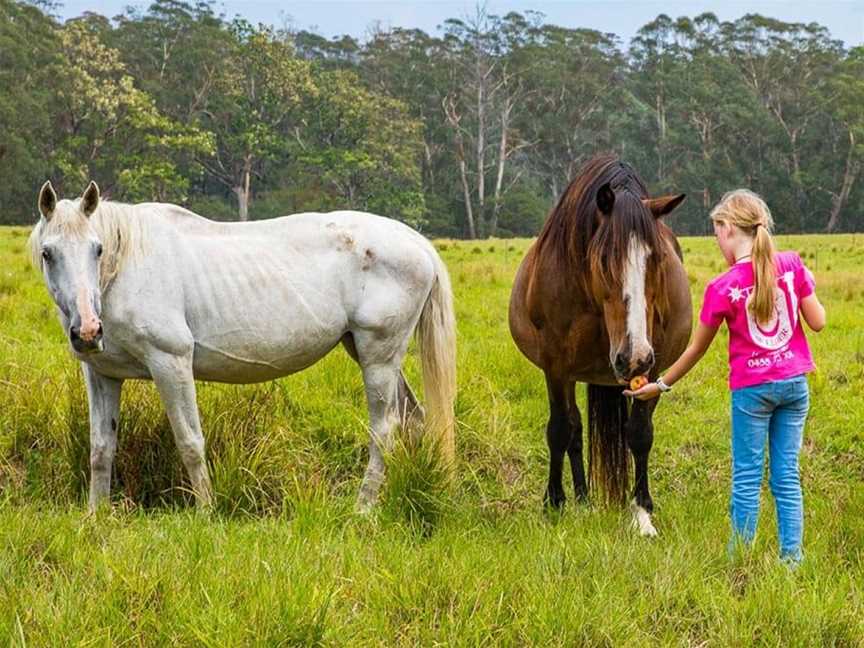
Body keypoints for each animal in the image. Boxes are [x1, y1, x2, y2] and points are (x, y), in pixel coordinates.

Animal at [29, 181, 456, 512]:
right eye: (48, 253)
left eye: (97, 249)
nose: (87, 331)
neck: (124, 269)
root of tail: (416, 242)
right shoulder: (101, 375)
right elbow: (101, 448)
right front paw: (96, 515)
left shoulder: (171, 363)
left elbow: (189, 442)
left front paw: (206, 512)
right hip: (373, 355)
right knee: (414, 420)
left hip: (378, 358)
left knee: (385, 430)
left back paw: (363, 509)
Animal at [510, 154, 692, 536]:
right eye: (606, 258)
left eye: (659, 258)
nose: (633, 357)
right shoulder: (556, 366)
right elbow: (560, 430)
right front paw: (554, 503)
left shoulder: (653, 367)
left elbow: (639, 434)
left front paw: (641, 511)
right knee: (574, 430)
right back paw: (581, 499)